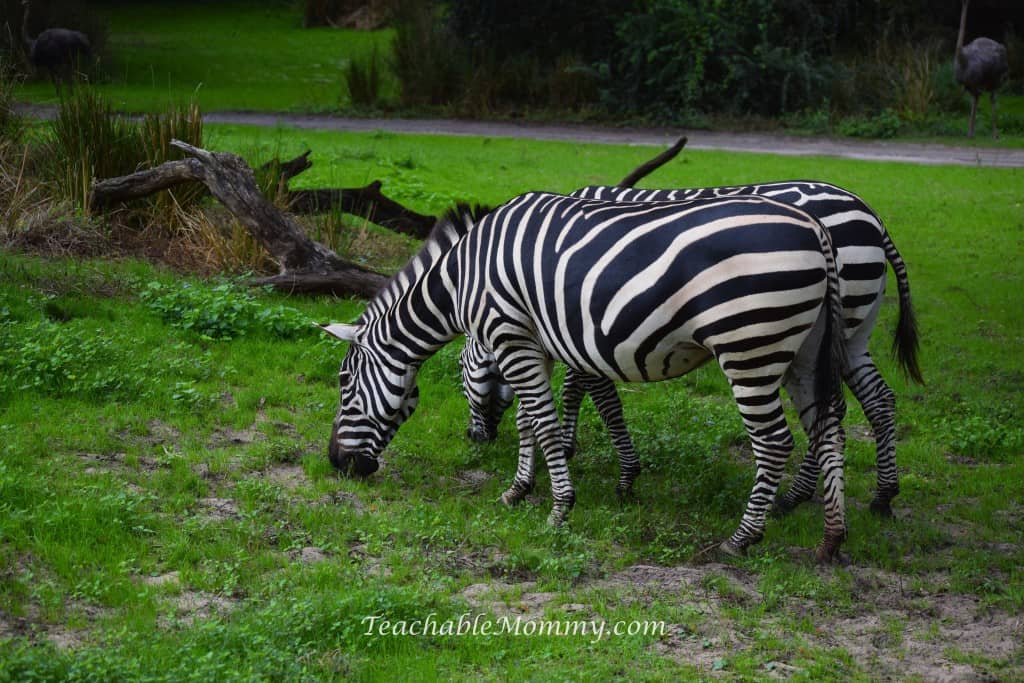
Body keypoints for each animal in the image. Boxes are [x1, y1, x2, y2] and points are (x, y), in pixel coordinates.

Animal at [319, 191, 847, 561]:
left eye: (343, 383)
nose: (336, 464)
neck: (460, 280)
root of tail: (815, 227)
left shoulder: (510, 336)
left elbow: (546, 425)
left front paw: (559, 508)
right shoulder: (536, 344)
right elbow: (527, 421)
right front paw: (518, 490)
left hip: (750, 346)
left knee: (775, 442)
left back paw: (742, 538)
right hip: (804, 350)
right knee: (830, 429)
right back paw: (831, 540)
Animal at [464, 179, 921, 516]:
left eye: (460, 373)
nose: (474, 438)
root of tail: (871, 216)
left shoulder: (587, 327)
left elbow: (592, 393)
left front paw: (596, 461)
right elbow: (577, 389)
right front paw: (567, 447)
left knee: (837, 408)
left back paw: (798, 496)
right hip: (850, 335)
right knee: (876, 401)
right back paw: (879, 496)